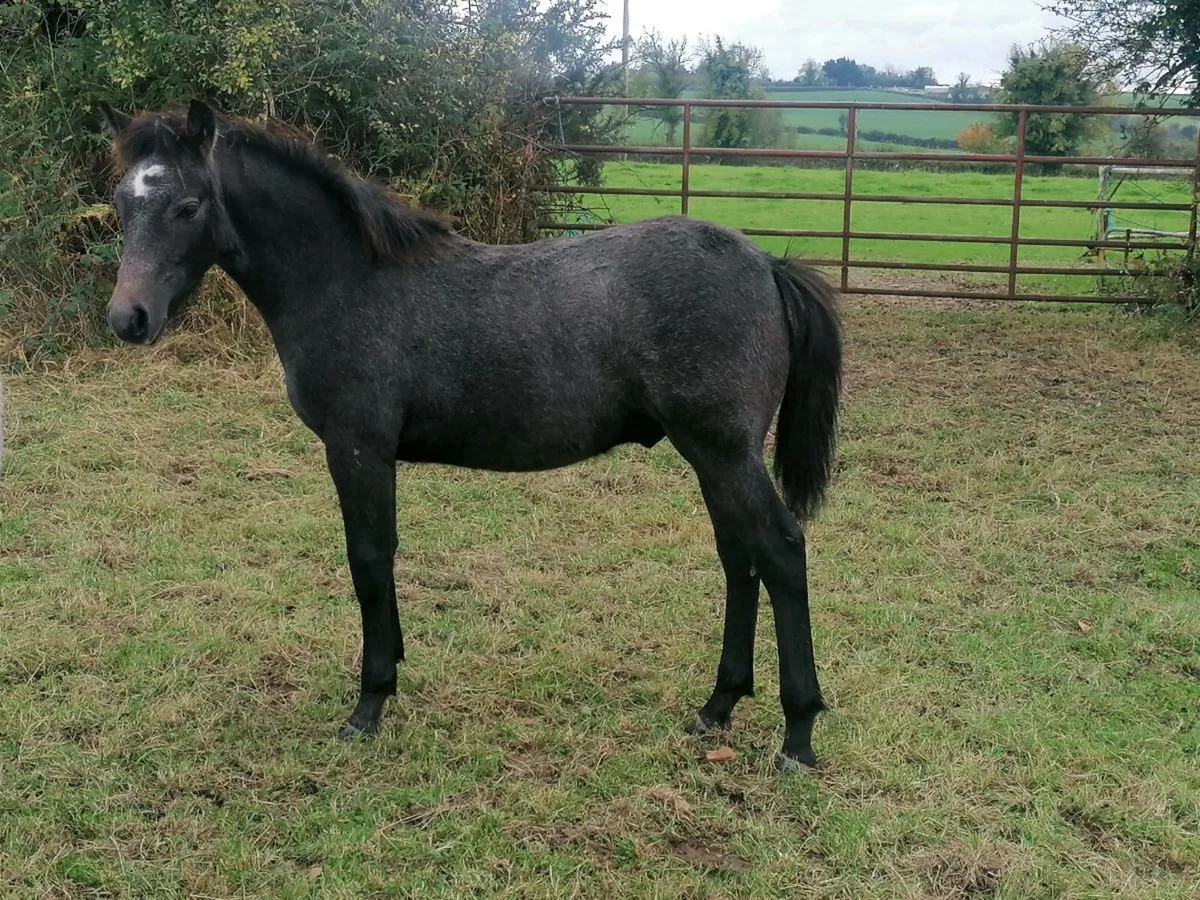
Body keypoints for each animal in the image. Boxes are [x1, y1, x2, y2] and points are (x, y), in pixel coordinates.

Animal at [95, 99, 843, 773]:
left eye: (188, 205)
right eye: (122, 202)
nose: (129, 319)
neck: (347, 281)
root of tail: (766, 263)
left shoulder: (358, 448)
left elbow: (369, 560)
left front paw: (369, 703)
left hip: (723, 451)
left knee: (780, 553)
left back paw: (798, 735)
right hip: (713, 457)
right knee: (739, 559)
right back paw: (717, 706)